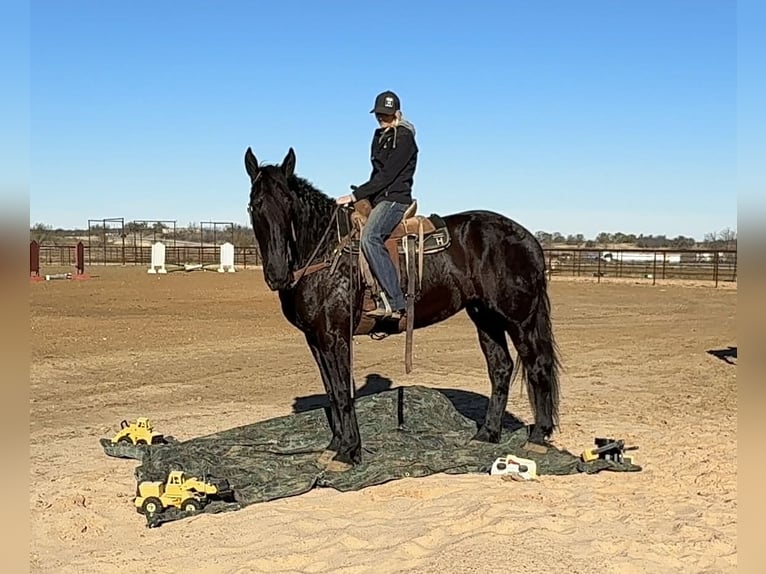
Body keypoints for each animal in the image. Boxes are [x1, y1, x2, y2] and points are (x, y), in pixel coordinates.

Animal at [244, 146, 561, 471]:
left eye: (287, 202)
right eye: (254, 205)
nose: (277, 274)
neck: (326, 250)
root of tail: (529, 239)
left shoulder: (336, 336)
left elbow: (343, 392)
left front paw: (348, 452)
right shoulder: (315, 339)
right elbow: (332, 392)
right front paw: (334, 446)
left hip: (519, 319)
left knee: (538, 366)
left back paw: (538, 437)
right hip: (485, 318)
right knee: (501, 368)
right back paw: (487, 434)